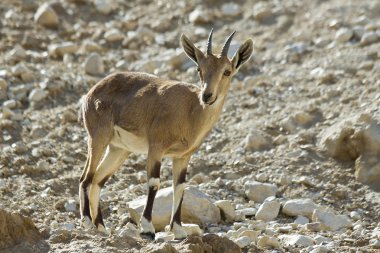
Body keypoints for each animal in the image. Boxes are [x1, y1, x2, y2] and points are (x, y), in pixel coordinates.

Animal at [79, 29, 254, 239]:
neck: (190, 111)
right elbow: (154, 182)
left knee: (98, 179)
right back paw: (87, 221)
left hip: (118, 150)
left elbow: (179, 187)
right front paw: (147, 228)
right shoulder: (156, 148)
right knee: (86, 178)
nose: (207, 96)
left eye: (227, 71)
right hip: (98, 138)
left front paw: (178, 229)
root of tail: (91, 92)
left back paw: (101, 227)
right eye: (199, 69)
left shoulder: (182, 156)